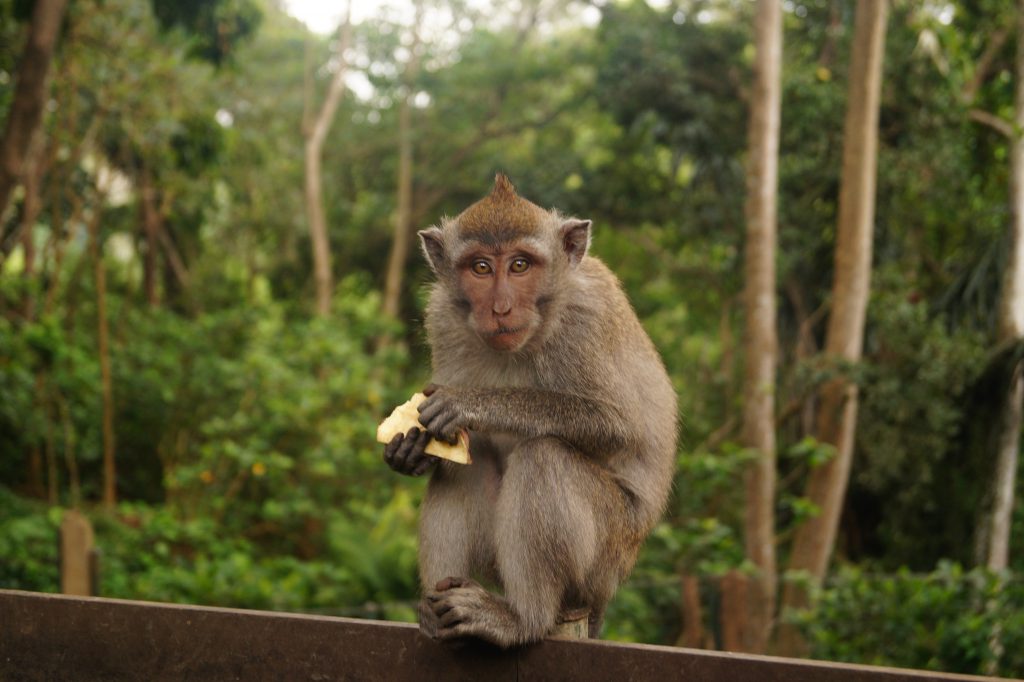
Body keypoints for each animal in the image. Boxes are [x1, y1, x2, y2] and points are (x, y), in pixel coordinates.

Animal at [380, 173, 675, 647]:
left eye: (520, 265)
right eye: (481, 268)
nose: (500, 307)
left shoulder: (585, 321)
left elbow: (618, 426)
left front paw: (474, 403)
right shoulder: (441, 316)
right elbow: (459, 447)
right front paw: (409, 450)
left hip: (605, 555)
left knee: (545, 456)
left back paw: (522, 618)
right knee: (467, 468)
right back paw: (437, 609)